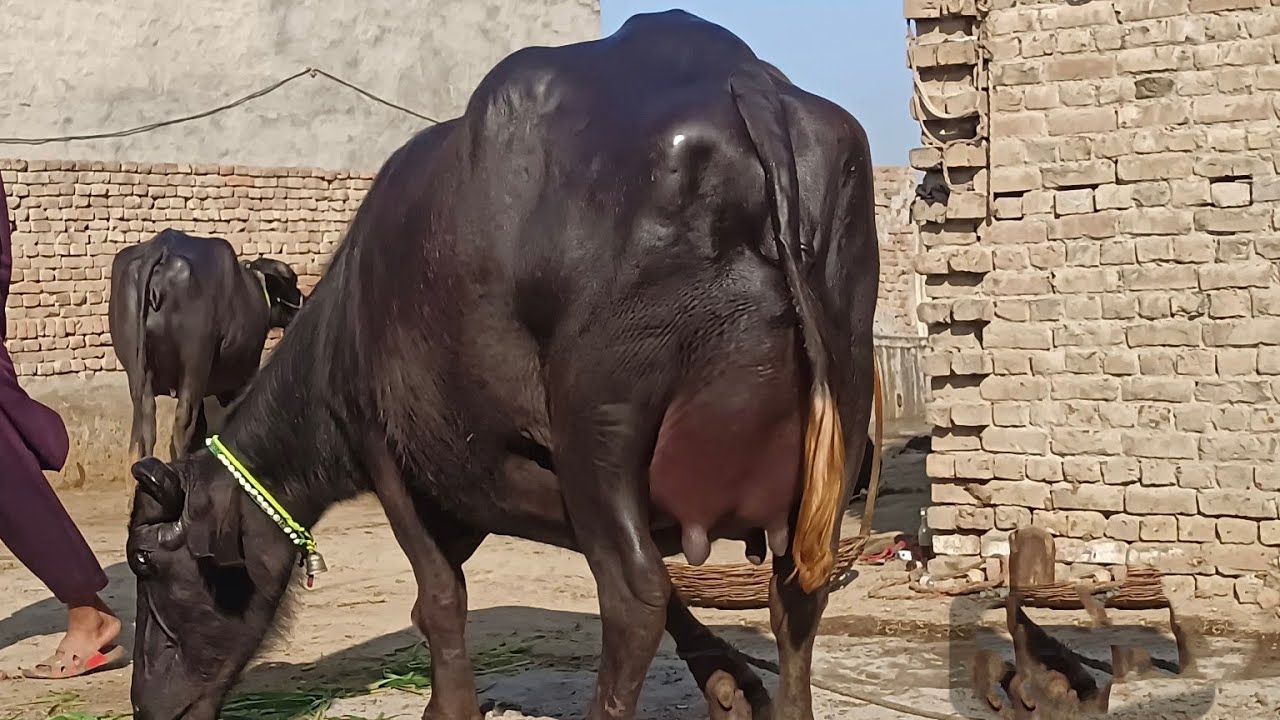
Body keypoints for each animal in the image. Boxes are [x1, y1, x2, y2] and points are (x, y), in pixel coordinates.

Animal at [108, 229, 305, 461]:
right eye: (292, 281)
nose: (303, 299)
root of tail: (162, 250)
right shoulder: (242, 377)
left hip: (137, 369)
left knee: (144, 425)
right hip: (195, 362)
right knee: (183, 422)